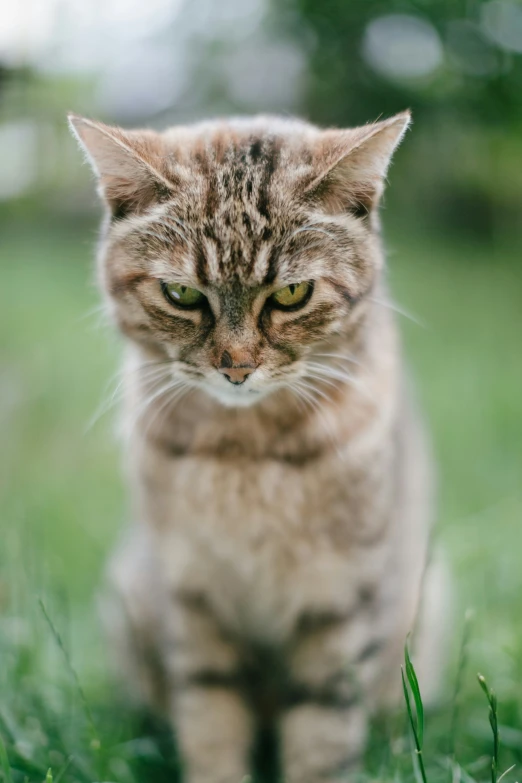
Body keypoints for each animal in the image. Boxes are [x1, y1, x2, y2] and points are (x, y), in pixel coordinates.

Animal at [68, 110, 442, 783]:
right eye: (183, 295)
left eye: (291, 295)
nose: (236, 368)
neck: (245, 455)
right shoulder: (191, 594)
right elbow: (210, 720)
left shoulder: (339, 604)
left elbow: (322, 737)